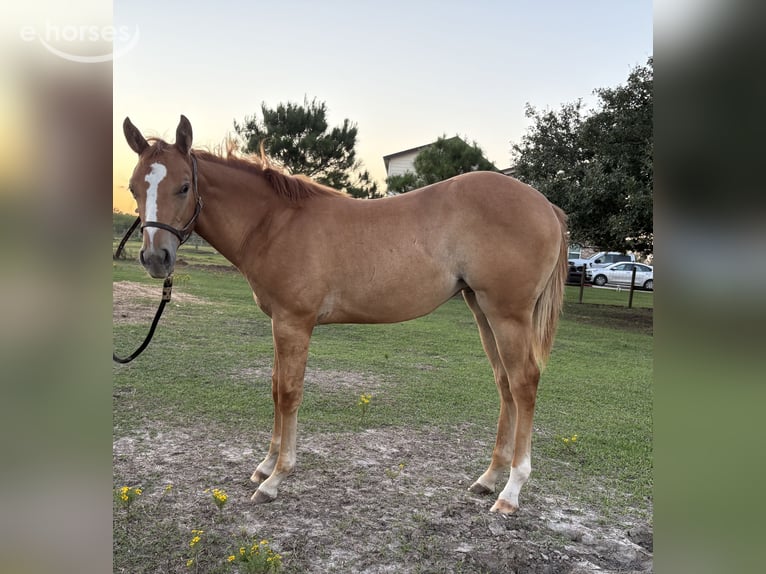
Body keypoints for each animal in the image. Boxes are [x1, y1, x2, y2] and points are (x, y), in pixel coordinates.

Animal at [121, 114, 568, 514]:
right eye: (132, 187)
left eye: (183, 186)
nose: (156, 258)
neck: (275, 223)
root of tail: (546, 205)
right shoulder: (279, 323)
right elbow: (275, 388)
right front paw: (265, 465)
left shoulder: (294, 323)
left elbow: (289, 393)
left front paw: (276, 478)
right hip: (482, 309)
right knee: (505, 384)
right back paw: (488, 479)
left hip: (508, 314)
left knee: (524, 384)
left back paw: (510, 492)